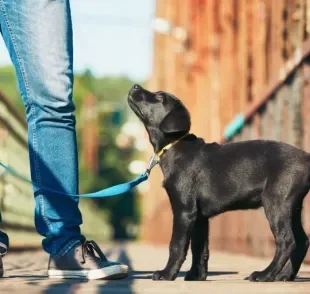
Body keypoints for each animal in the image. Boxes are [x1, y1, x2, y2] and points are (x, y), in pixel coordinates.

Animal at [128, 84, 310, 282]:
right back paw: (284, 275)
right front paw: (196, 276)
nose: (135, 86)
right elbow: (200, 248)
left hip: (276, 202)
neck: (174, 146)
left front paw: (167, 274)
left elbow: (177, 244)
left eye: (160, 98)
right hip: (293, 207)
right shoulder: (199, 216)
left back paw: (264, 274)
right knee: (302, 241)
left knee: (286, 241)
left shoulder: (184, 210)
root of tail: (306, 157)